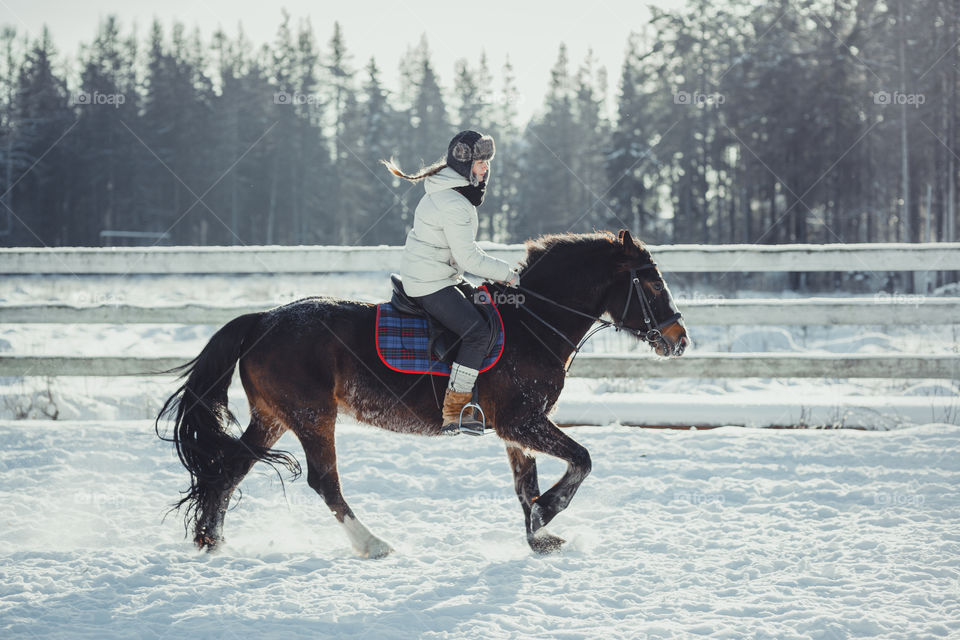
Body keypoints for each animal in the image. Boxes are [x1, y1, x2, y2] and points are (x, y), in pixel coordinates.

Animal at [154, 230, 688, 556]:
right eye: (650, 283)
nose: (680, 339)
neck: (531, 324)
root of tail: (262, 320)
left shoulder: (515, 430)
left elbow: (525, 484)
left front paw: (538, 535)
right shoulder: (522, 422)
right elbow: (581, 460)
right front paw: (548, 513)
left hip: (273, 417)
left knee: (229, 470)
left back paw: (212, 541)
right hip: (311, 416)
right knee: (324, 482)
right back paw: (372, 544)